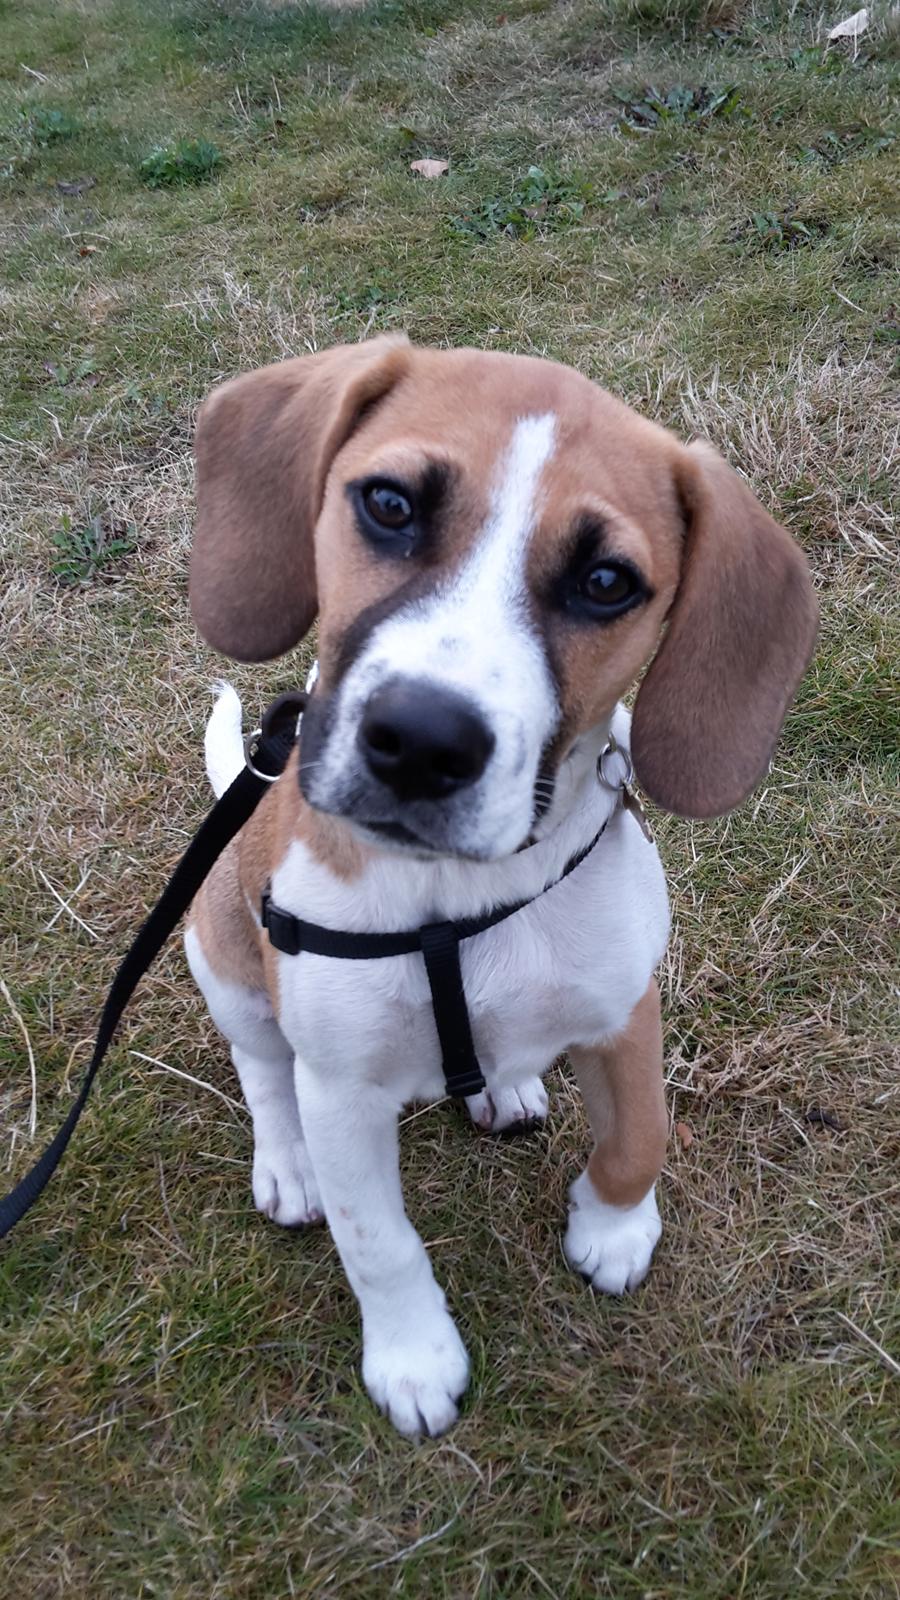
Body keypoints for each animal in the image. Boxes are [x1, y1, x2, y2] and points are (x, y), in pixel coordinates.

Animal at [185, 337, 816, 1440]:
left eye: (606, 581)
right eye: (389, 503)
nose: (422, 742)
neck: (454, 901)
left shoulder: (625, 1006)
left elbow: (642, 1136)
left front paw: (614, 1229)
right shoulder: (342, 1090)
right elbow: (378, 1240)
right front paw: (414, 1359)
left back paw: (507, 1083)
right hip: (217, 951)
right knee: (262, 1066)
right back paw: (287, 1163)